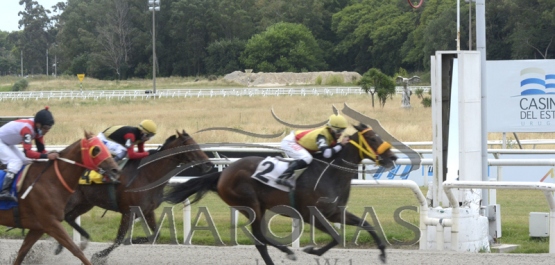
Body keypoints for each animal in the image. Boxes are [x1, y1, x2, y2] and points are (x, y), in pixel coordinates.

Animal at [0, 130, 120, 264]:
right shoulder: (51, 223)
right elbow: (76, 250)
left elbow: (22, 252)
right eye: (96, 149)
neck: (51, 180)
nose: (115, 170)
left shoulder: (39, 227)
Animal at [54, 129, 213, 260]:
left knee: (68, 217)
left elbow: (155, 235)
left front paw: (134, 240)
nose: (209, 164)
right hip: (71, 201)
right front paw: (99, 256)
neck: (148, 175)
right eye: (190, 146)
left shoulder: (147, 211)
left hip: (85, 203)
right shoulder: (128, 211)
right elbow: (119, 239)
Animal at [163, 124, 398, 264]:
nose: (393, 158)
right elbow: (336, 236)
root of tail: (222, 174)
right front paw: (312, 251)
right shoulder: (312, 214)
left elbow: (366, 225)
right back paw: (286, 252)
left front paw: (383, 253)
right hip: (250, 205)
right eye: (374, 139)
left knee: (261, 238)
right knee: (259, 238)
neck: (330, 172)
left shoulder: (335, 212)